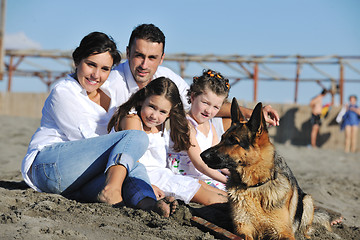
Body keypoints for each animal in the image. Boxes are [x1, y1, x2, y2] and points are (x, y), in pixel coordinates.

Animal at [201, 98, 330, 240]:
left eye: (234, 141)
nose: (202, 155)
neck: (254, 186)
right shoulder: (243, 229)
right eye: (222, 138)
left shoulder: (284, 232)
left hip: (307, 201)